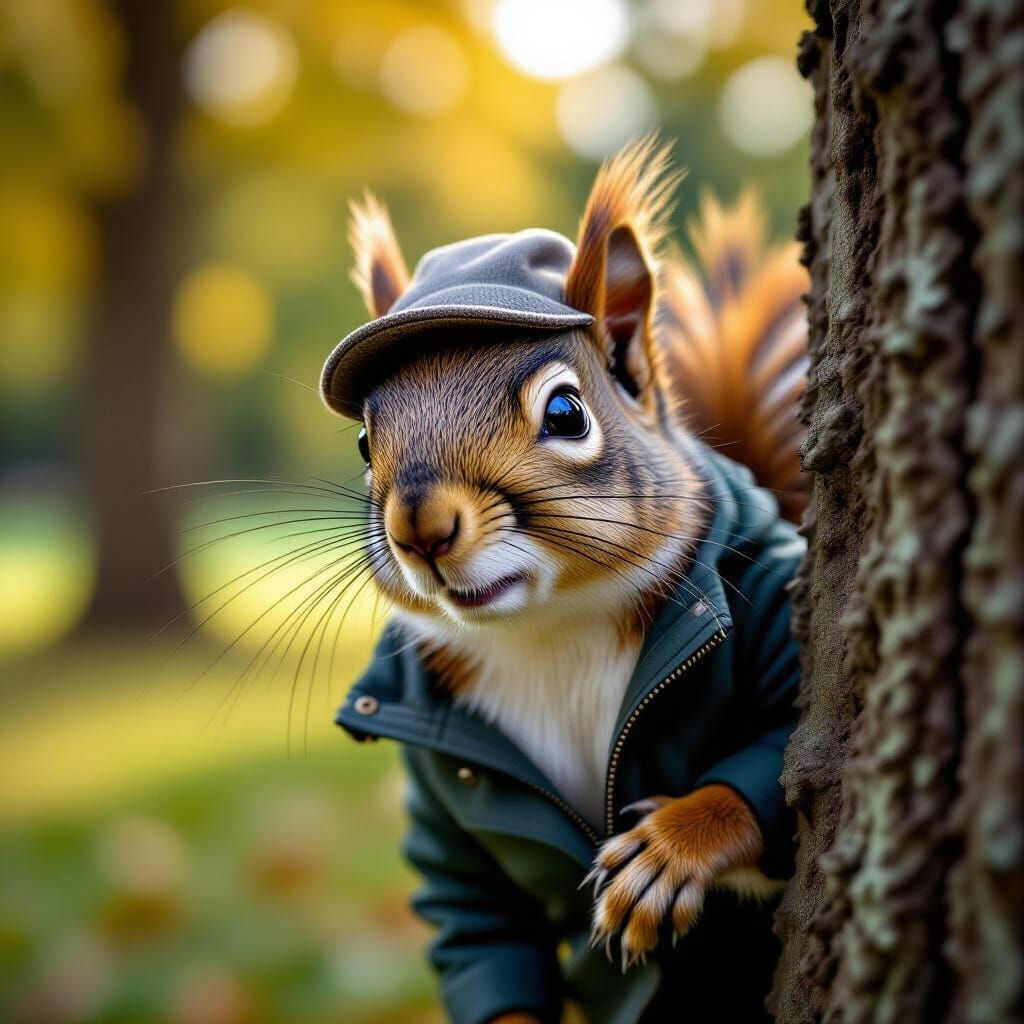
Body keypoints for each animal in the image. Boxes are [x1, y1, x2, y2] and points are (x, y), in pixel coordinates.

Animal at [325, 138, 808, 1024]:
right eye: (366, 443)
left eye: (565, 414)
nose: (420, 527)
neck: (548, 630)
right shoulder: (444, 821)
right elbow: (478, 917)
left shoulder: (777, 626)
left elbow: (784, 749)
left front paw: (667, 851)